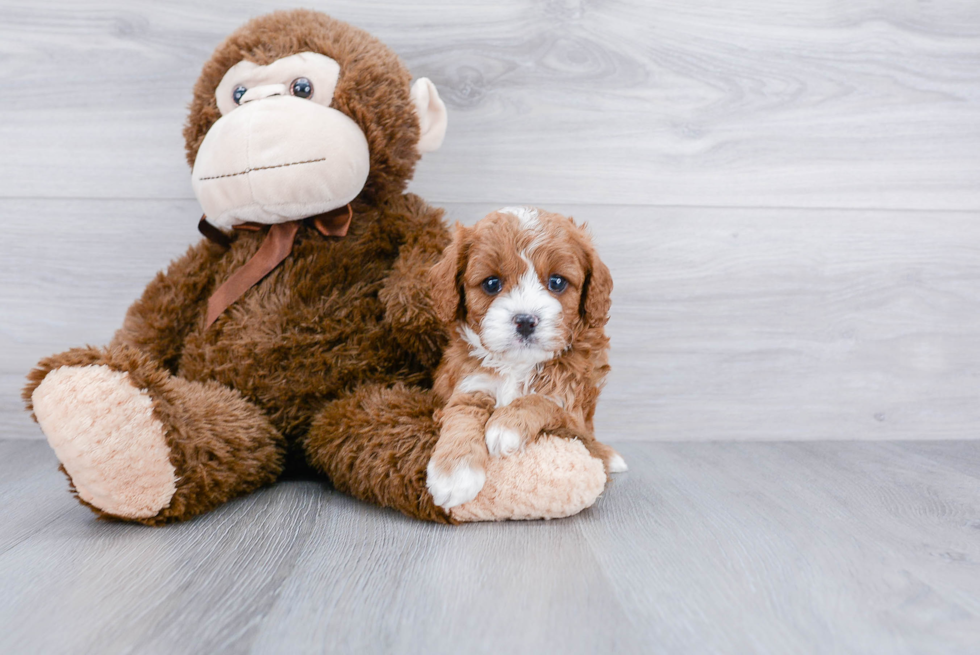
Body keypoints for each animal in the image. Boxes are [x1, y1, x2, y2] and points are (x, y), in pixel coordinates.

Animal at [424, 208, 624, 510]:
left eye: (557, 282)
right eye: (492, 284)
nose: (526, 321)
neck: (517, 365)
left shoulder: (573, 410)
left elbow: (542, 400)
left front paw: (505, 426)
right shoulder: (470, 385)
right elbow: (462, 417)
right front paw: (454, 476)